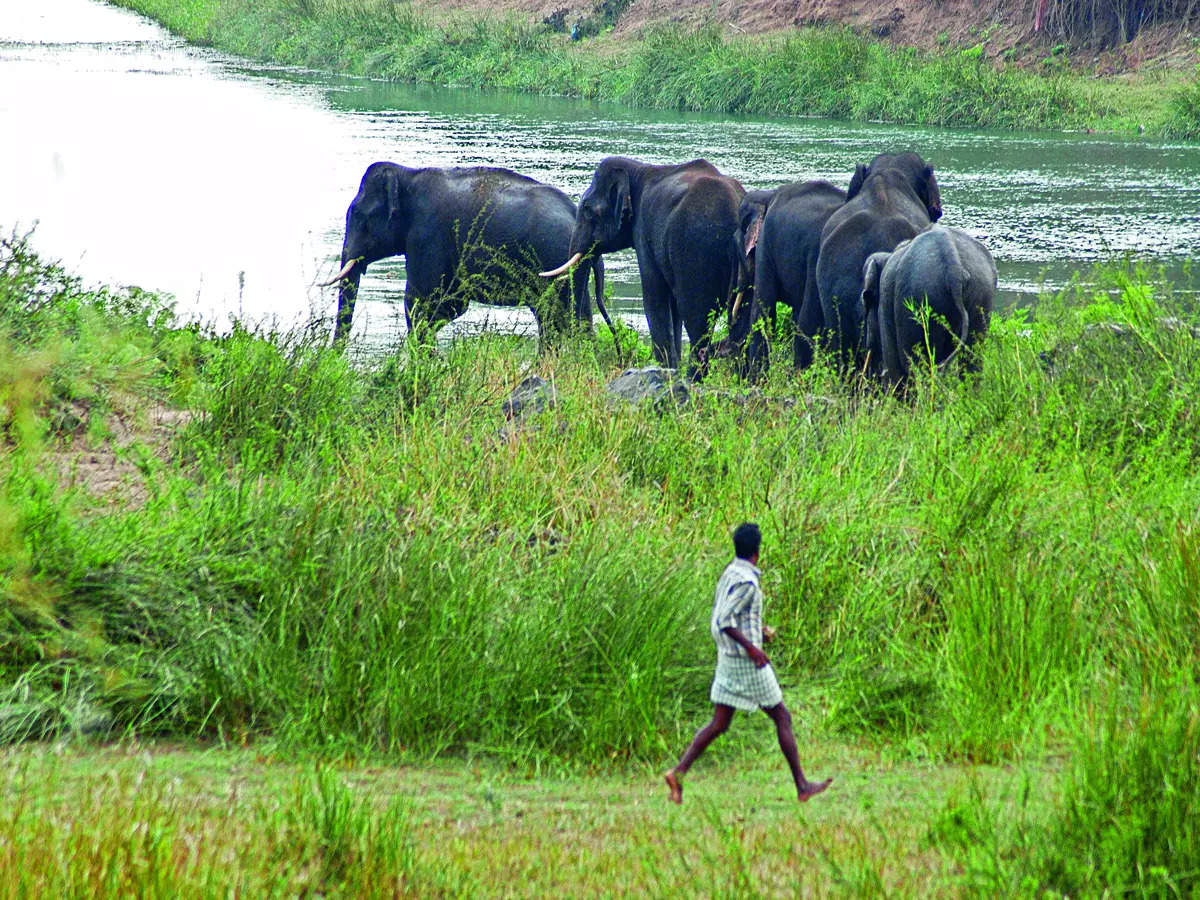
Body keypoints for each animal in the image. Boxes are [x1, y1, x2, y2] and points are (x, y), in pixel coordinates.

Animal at [324, 162, 614, 345]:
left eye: (359, 215)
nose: (338, 358)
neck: (408, 174)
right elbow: (449, 306)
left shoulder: (427, 236)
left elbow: (419, 303)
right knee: (566, 320)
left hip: (556, 260)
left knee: (558, 317)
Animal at [542, 157, 744, 372]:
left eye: (588, 210)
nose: (619, 357)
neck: (638, 169)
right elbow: (673, 307)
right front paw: (672, 369)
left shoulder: (644, 231)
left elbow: (654, 298)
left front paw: (667, 371)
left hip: (697, 251)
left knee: (698, 320)